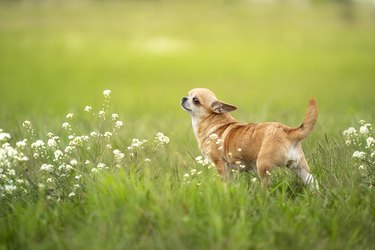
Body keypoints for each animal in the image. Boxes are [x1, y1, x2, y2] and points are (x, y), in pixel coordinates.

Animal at [182, 88, 320, 189]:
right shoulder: (232, 171)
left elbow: (224, 184)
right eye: (188, 94)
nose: (183, 98)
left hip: (262, 166)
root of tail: (287, 131)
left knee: (267, 187)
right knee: (313, 182)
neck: (212, 120)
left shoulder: (220, 165)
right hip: (301, 168)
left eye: (195, 100)